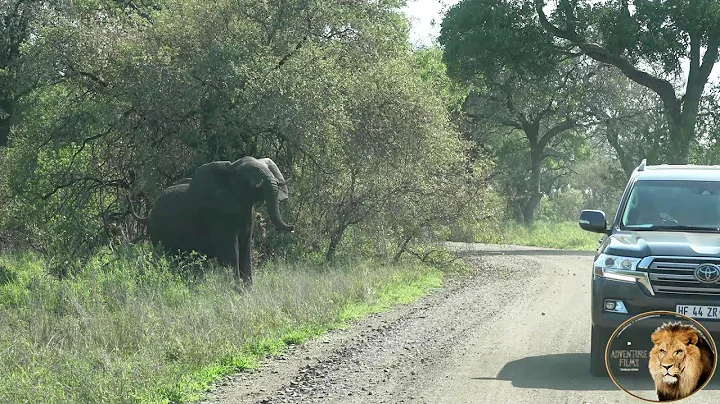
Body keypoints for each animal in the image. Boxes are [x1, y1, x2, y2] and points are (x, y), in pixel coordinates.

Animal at [131, 156, 294, 286]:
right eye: (244, 175)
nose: (292, 227)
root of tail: (148, 216)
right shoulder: (217, 216)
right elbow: (232, 250)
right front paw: (237, 290)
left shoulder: (248, 215)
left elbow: (245, 248)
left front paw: (248, 291)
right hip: (158, 233)